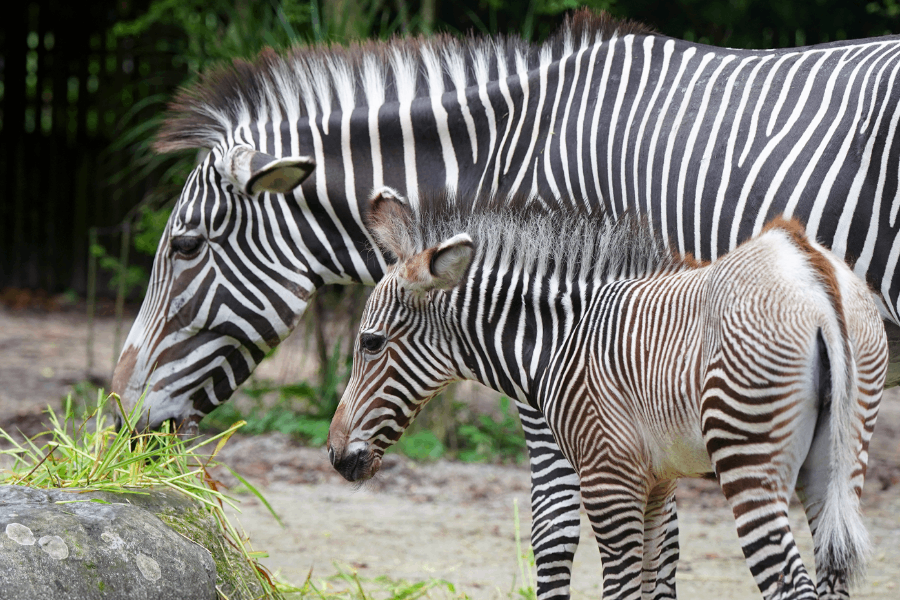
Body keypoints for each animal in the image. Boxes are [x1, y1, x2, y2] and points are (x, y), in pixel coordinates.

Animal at [327, 188, 888, 600]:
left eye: (370, 342)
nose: (334, 455)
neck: (563, 337)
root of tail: (809, 267)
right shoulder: (659, 483)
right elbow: (657, 581)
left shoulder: (608, 479)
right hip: (837, 464)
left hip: (748, 460)